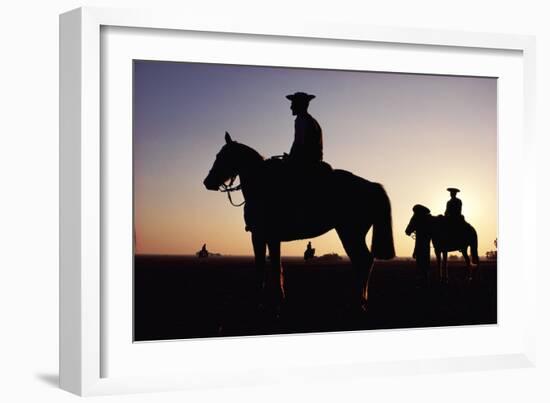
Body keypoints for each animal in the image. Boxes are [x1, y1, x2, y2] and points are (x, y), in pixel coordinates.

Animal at [204, 133, 396, 312]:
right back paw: (360, 302)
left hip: (350, 233)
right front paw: (278, 300)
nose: (207, 182)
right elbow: (275, 267)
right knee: (363, 262)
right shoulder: (271, 238)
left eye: (222, 156)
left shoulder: (260, 236)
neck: (263, 184)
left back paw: (359, 303)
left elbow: (264, 268)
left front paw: (265, 303)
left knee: (363, 261)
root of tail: (372, 185)